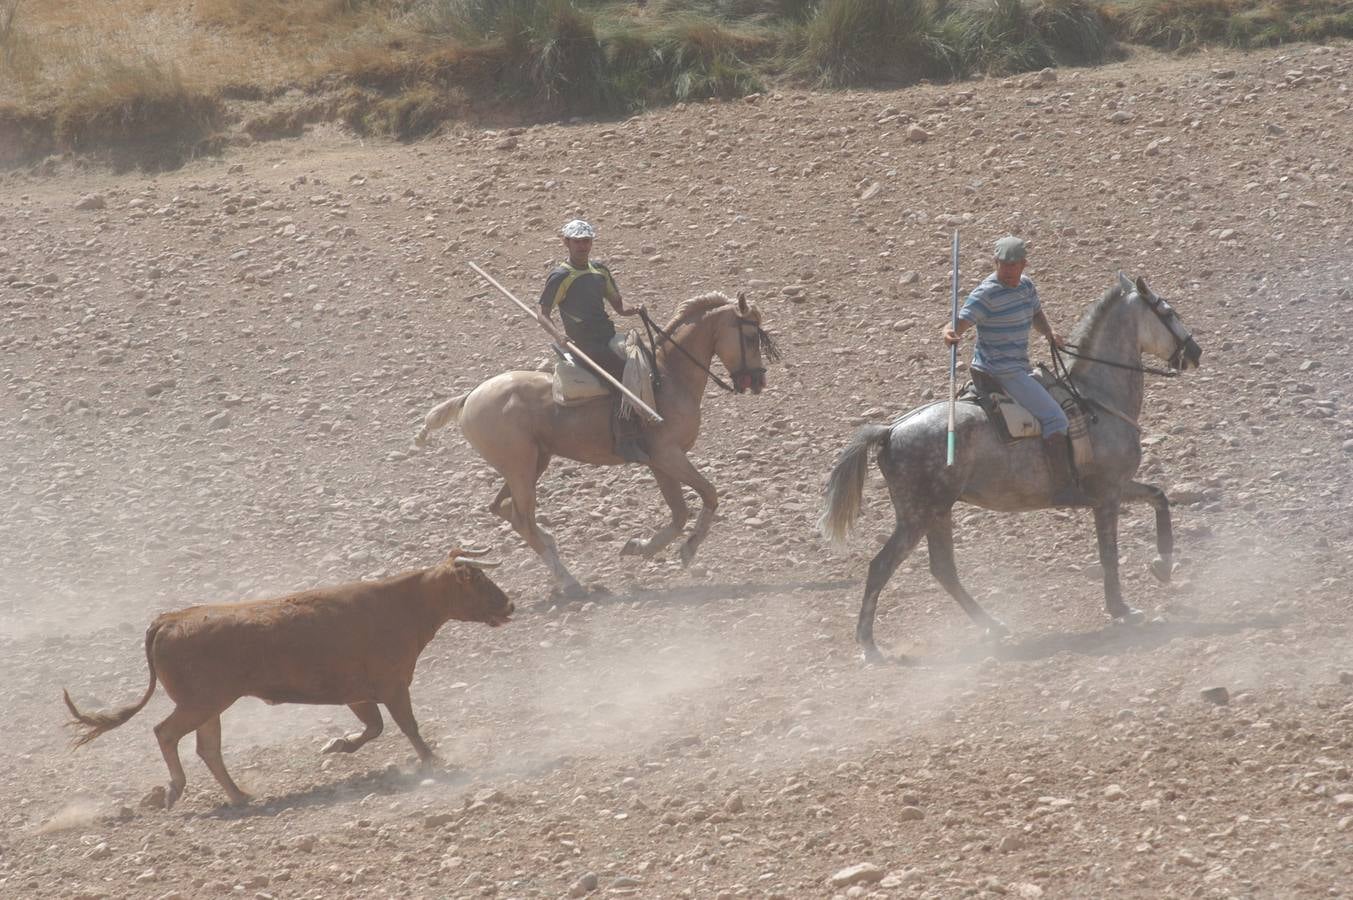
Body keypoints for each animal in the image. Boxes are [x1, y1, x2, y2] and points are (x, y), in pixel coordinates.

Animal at [58, 546, 514, 806]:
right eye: (478, 579)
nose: (509, 605)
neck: (403, 605)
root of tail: (170, 619)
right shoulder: (393, 685)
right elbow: (407, 727)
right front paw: (434, 762)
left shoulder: (358, 693)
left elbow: (374, 728)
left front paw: (337, 745)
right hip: (201, 702)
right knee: (166, 733)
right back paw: (176, 789)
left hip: (209, 706)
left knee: (208, 748)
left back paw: (240, 796)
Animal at [411, 289, 779, 595]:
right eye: (750, 337)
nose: (758, 380)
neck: (669, 377)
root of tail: (469, 397)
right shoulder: (667, 455)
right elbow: (708, 495)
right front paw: (687, 549)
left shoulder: (660, 462)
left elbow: (679, 512)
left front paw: (639, 547)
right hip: (520, 467)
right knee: (522, 518)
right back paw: (569, 581)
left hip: (533, 463)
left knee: (503, 509)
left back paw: (555, 550)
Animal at [817, 273, 1201, 660]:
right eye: (1168, 311)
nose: (1195, 352)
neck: (1096, 398)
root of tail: (891, 430)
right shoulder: (1107, 494)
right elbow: (1109, 553)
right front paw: (1122, 609)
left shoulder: (1120, 487)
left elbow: (1159, 497)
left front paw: (1162, 565)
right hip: (917, 515)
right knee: (882, 567)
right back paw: (869, 645)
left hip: (937, 512)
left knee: (943, 569)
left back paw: (993, 625)